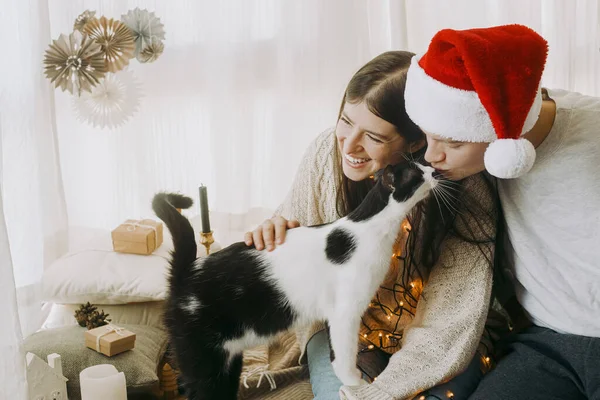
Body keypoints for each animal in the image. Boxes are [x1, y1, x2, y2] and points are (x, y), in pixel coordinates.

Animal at [152, 162, 436, 400]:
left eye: (422, 164)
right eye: (417, 172)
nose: (434, 171)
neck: (371, 228)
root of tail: (188, 271)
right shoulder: (345, 313)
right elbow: (344, 356)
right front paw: (356, 384)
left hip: (229, 363)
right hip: (207, 365)